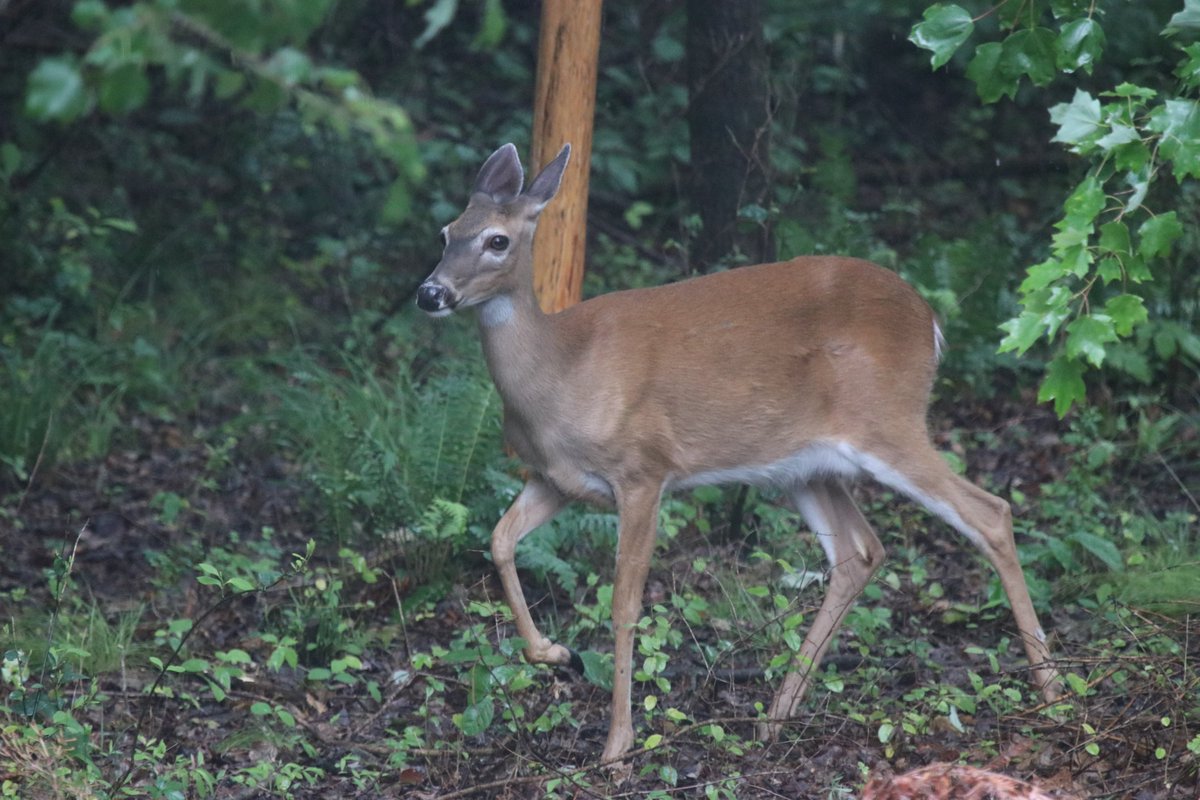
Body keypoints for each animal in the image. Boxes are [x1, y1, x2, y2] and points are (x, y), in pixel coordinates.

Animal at [417, 143, 1065, 762]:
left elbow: (624, 605)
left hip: (890, 422)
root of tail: (930, 320)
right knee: (860, 551)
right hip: (806, 465)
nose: (431, 293)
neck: (559, 373)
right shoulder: (554, 479)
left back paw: (1053, 692)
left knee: (989, 513)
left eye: (497, 240)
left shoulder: (644, 471)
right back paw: (774, 718)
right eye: (446, 233)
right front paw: (558, 654)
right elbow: (499, 541)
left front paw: (617, 748)